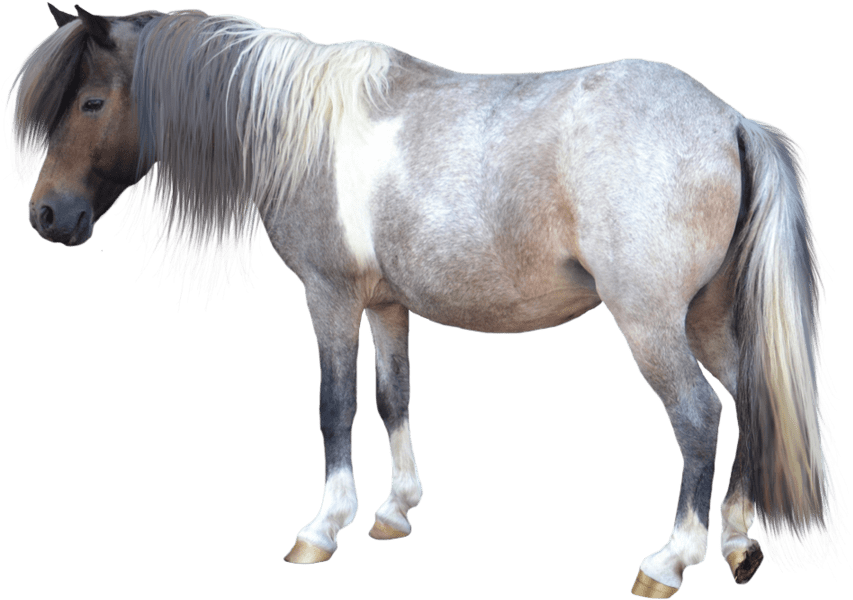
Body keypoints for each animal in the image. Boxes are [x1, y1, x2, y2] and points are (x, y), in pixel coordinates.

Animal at [7, 4, 845, 596]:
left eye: (89, 102)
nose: (47, 216)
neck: (299, 128)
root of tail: (731, 121)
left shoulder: (330, 296)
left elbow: (335, 403)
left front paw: (323, 527)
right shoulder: (385, 305)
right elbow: (392, 398)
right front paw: (392, 512)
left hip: (651, 324)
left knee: (697, 416)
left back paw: (670, 561)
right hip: (707, 318)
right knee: (747, 398)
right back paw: (735, 542)